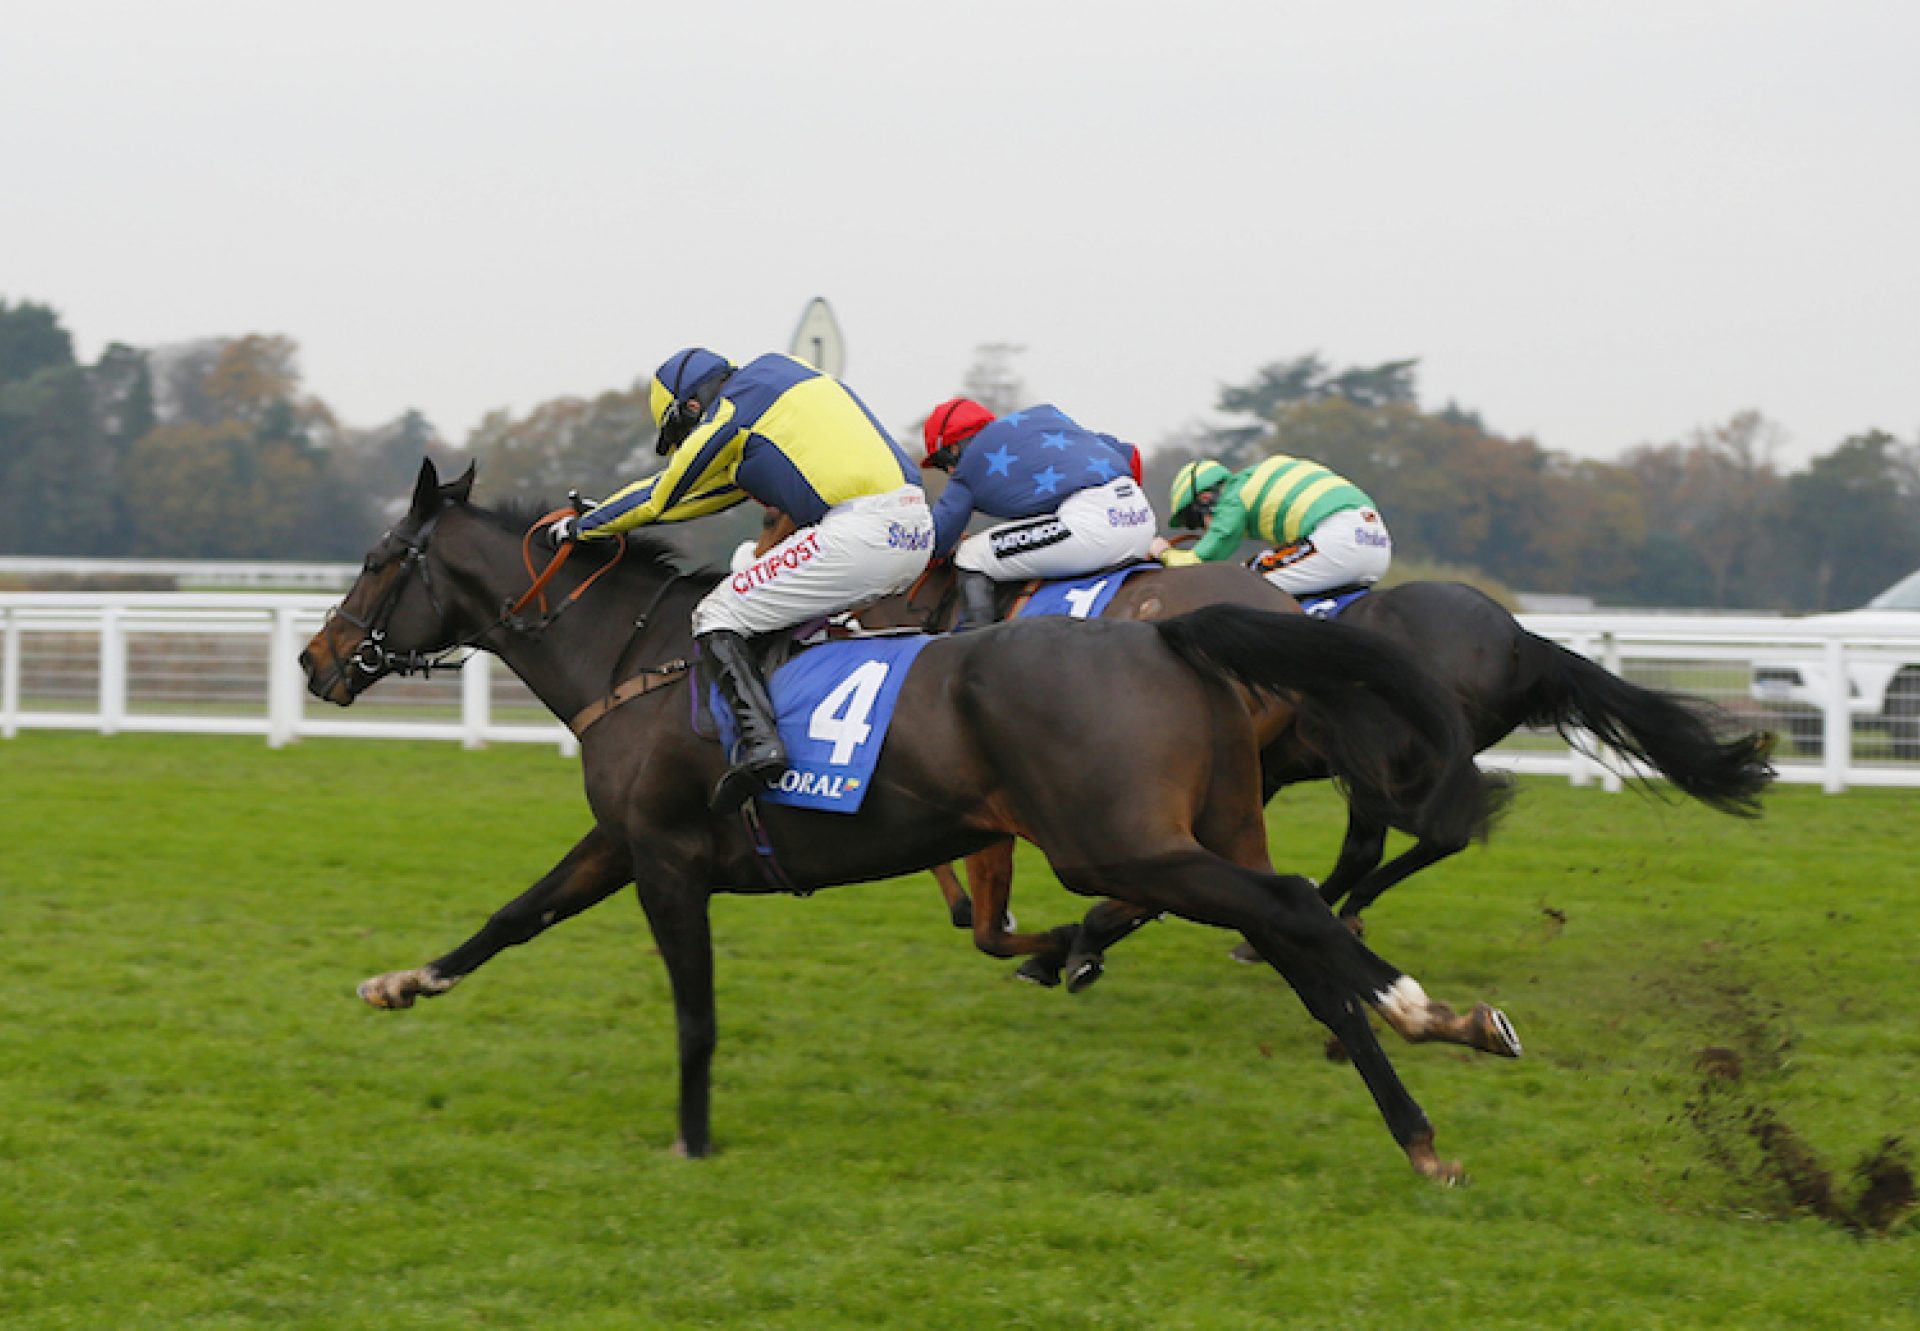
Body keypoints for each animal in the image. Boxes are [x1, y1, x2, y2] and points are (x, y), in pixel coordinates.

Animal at [303, 462, 1528, 1175]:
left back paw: (1435, 1017)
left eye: (375, 561)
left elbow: (694, 1012)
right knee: (1298, 934)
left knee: (1295, 909)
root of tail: (1172, 633)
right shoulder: (619, 844)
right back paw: (1417, 1116)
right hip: (1212, 825)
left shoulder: (665, 859)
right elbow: (513, 916)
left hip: (1121, 844)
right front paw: (402, 982)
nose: (318, 658)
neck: (634, 661)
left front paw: (692, 1140)